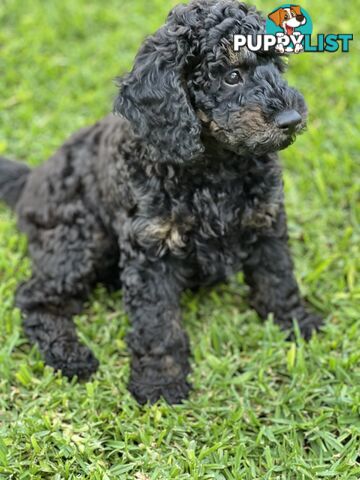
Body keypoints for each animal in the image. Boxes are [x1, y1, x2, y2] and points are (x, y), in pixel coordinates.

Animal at [0, 0, 324, 404]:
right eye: (232, 76)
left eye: (277, 66)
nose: (292, 118)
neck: (216, 168)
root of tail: (30, 180)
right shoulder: (150, 248)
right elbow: (158, 321)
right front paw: (160, 381)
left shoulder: (265, 219)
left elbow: (277, 276)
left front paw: (296, 322)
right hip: (78, 238)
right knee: (34, 297)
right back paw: (70, 355)